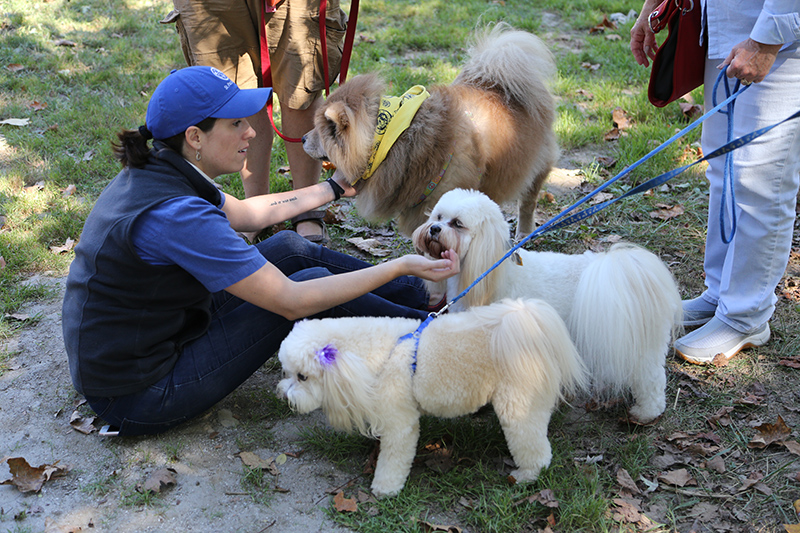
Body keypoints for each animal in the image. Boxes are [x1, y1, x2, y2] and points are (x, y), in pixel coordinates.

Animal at [278, 298, 584, 496]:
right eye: (287, 373)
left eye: (302, 376)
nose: (286, 398)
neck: (376, 352)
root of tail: (528, 324)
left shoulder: (400, 422)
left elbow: (394, 459)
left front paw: (384, 489)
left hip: (518, 404)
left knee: (536, 450)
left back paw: (525, 476)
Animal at [412, 187, 680, 424]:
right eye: (438, 216)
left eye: (457, 224)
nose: (434, 228)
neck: (490, 270)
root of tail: (633, 273)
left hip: (643, 348)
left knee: (651, 378)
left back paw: (646, 412)